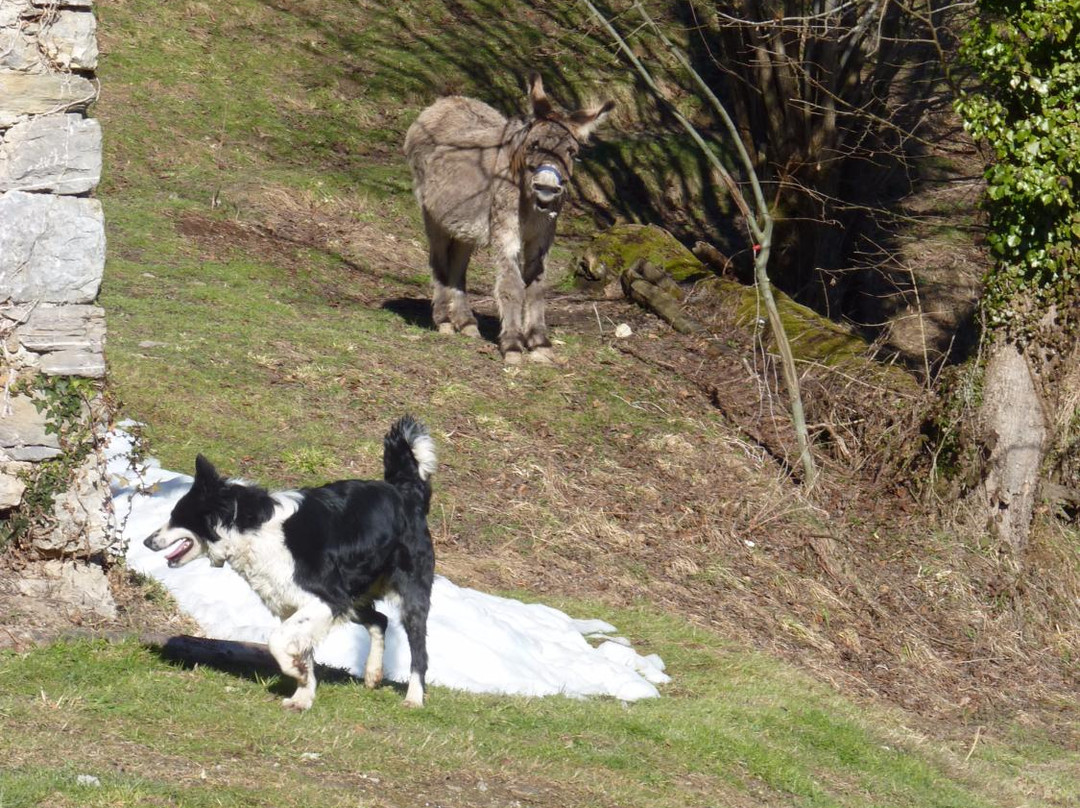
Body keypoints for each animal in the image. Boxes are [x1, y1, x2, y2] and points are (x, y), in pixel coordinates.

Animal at [144, 416, 438, 708]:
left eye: (176, 516)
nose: (147, 541)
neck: (248, 528)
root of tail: (406, 491)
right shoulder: (302, 603)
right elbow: (299, 650)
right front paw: (303, 695)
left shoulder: (326, 599)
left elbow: (277, 641)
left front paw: (297, 674)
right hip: (352, 598)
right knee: (380, 620)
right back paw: (373, 674)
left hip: (407, 595)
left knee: (419, 652)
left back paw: (414, 698)